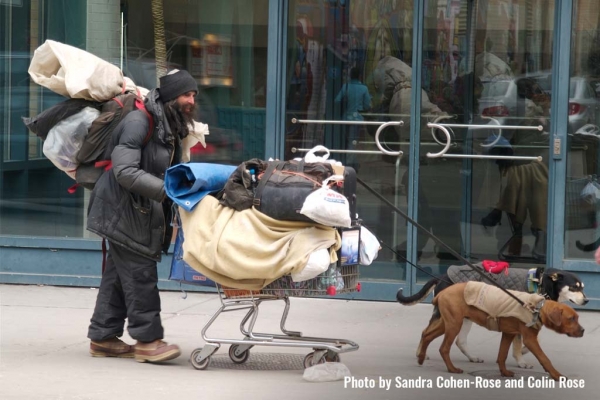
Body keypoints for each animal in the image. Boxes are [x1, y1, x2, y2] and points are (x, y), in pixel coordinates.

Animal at [420, 282, 584, 382]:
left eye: (577, 318)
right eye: (571, 319)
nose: (583, 331)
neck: (538, 307)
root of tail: (442, 292)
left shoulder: (508, 334)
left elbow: (502, 355)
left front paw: (504, 372)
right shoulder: (530, 339)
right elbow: (544, 358)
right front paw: (557, 375)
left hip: (447, 323)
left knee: (427, 335)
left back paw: (421, 357)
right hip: (454, 324)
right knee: (443, 348)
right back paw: (452, 369)